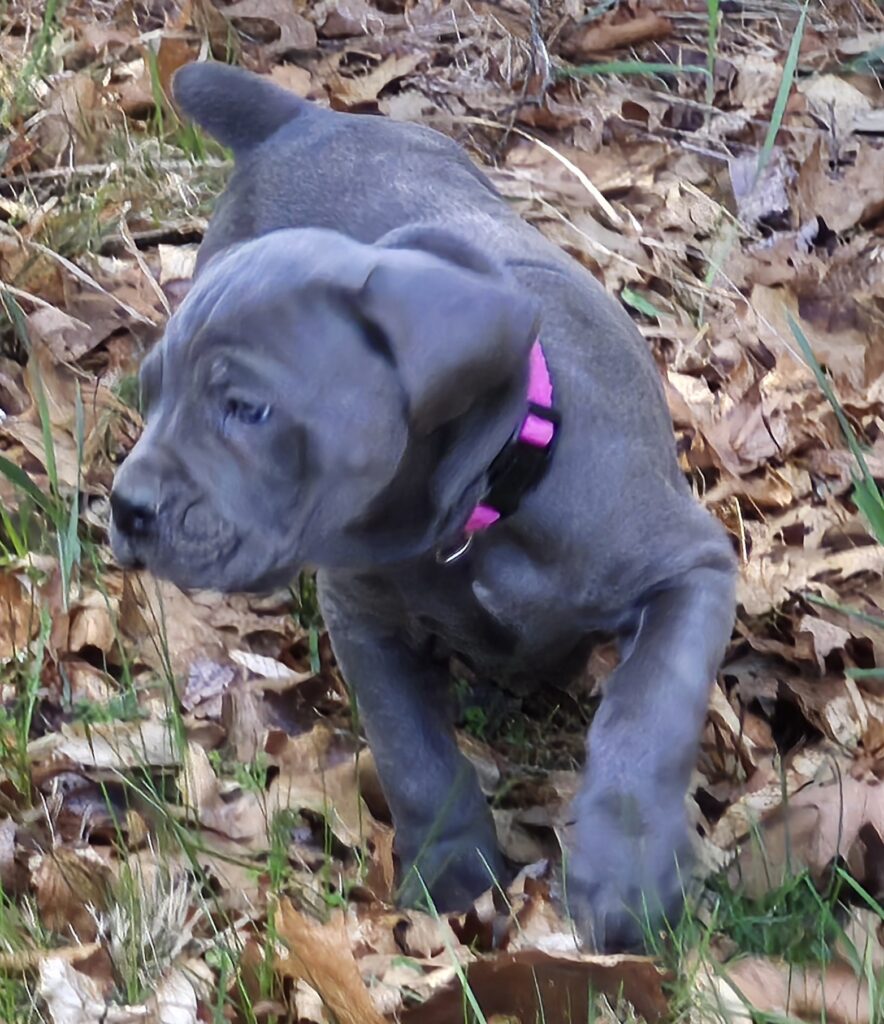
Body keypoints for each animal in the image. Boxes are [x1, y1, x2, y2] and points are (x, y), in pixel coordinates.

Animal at [110, 61, 737, 951]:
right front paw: (454, 874)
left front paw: (628, 880)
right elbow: (414, 752)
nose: (126, 508)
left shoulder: (693, 566)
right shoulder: (363, 617)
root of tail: (302, 120)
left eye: (247, 409)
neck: (482, 510)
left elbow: (651, 708)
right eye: (151, 396)